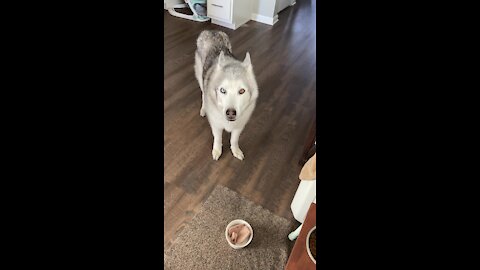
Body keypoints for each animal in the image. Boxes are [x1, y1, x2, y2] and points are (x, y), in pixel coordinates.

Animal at [194, 30, 258, 160]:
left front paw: (235, 150)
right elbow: (218, 139)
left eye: (242, 91)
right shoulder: (216, 125)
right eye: (223, 90)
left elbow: (234, 140)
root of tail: (211, 31)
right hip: (200, 77)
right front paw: (217, 150)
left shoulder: (239, 126)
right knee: (203, 93)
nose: (231, 113)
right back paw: (203, 109)